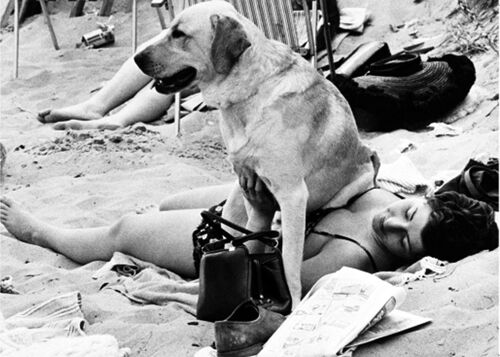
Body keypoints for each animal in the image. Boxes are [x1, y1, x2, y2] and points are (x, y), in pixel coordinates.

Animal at [135, 0, 376, 308]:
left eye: (179, 34)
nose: (136, 58)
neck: (249, 92)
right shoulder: (246, 185)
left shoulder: (292, 195)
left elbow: (289, 263)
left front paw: (293, 305)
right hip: (234, 201)